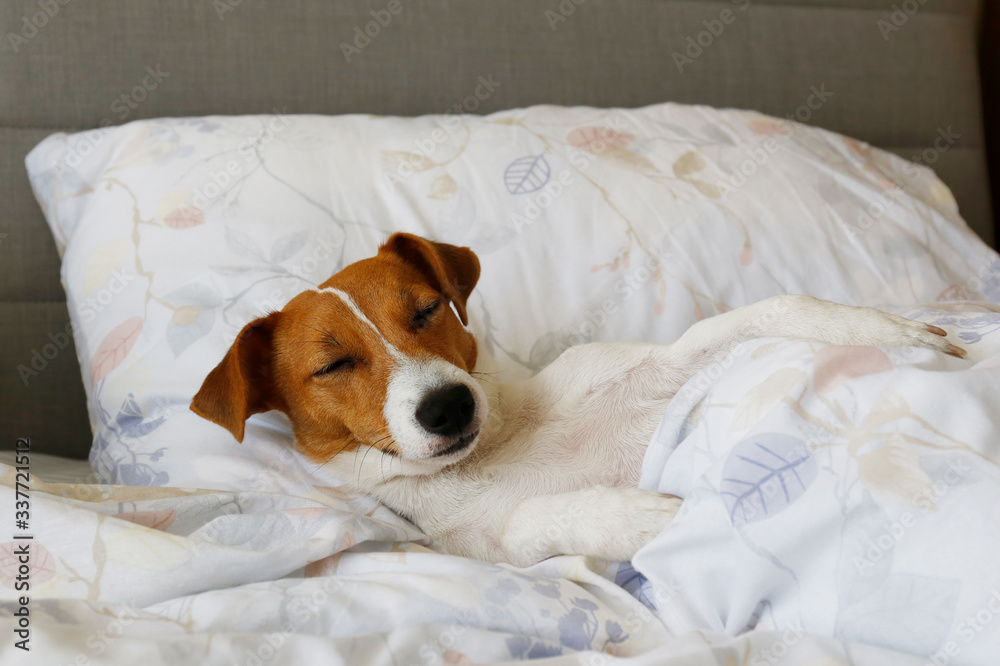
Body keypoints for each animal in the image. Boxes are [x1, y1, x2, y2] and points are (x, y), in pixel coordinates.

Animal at [191, 233, 964, 564]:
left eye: (427, 309)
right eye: (334, 364)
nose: (448, 408)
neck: (496, 452)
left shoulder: (661, 361)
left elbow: (767, 314)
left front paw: (881, 329)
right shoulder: (487, 556)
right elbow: (535, 520)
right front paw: (644, 519)